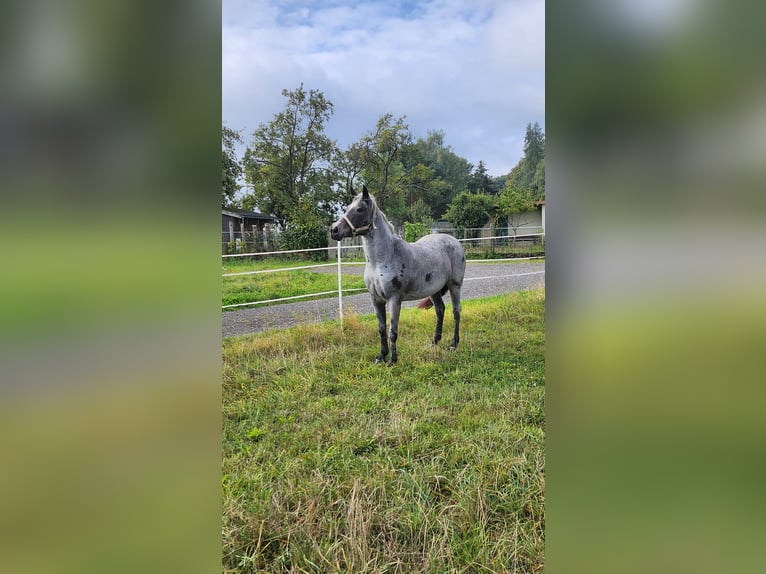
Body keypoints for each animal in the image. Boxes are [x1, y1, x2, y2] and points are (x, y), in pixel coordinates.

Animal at [332, 187, 468, 366]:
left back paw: (453, 344)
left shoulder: (394, 300)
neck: (383, 258)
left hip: (455, 285)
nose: (334, 230)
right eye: (347, 208)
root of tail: (453, 240)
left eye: (360, 209)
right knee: (440, 310)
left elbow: (393, 331)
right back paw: (434, 342)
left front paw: (392, 360)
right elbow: (381, 328)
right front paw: (381, 356)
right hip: (434, 290)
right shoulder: (375, 299)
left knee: (456, 311)